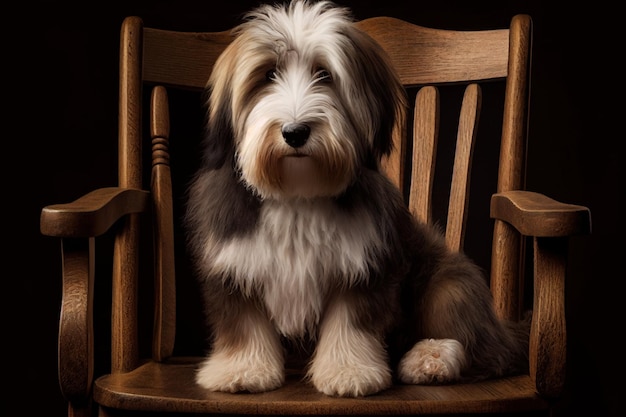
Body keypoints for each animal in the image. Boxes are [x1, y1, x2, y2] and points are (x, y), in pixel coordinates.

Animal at [185, 0, 528, 396]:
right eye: (268, 75)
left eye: (324, 74)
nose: (295, 132)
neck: (298, 195)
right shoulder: (235, 267)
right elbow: (243, 324)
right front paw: (242, 370)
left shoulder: (363, 266)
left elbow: (350, 325)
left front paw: (349, 372)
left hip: (449, 283)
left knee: (481, 346)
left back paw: (430, 360)